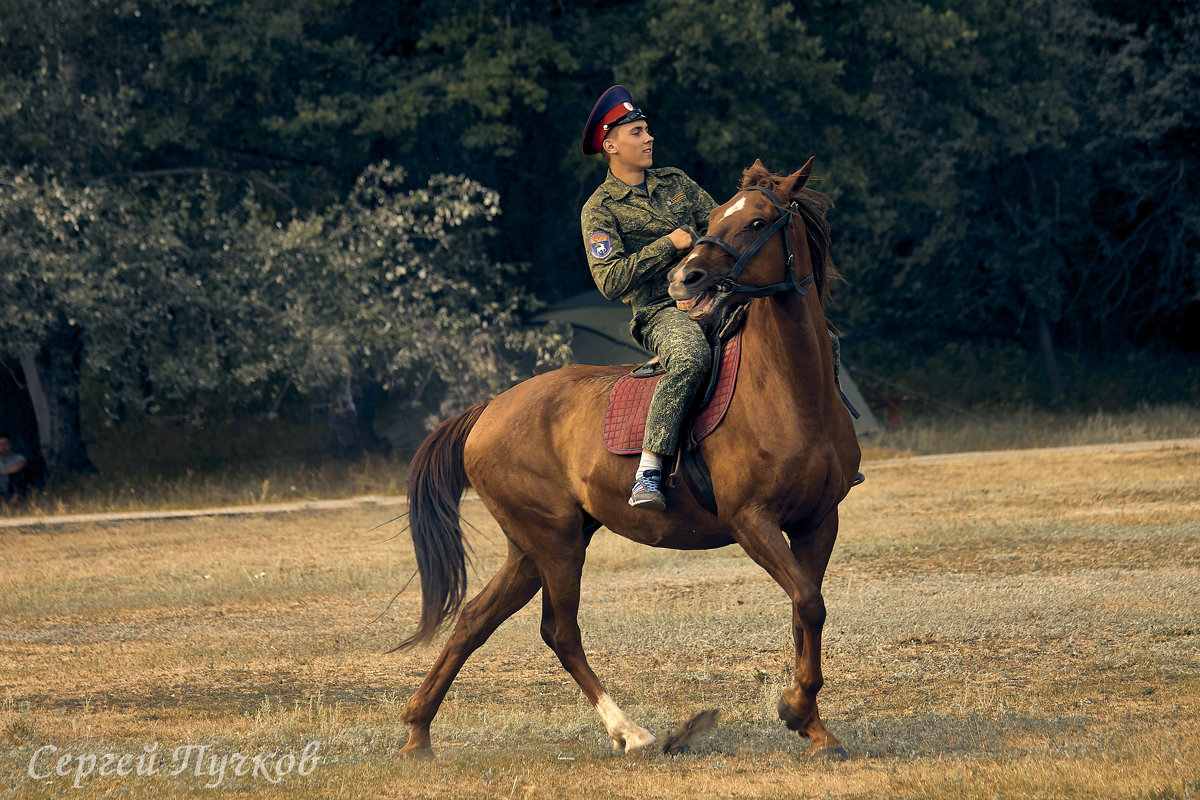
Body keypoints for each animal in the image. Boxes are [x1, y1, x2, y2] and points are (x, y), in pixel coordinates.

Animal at [398, 159, 859, 762]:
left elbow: (808, 614)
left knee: (474, 620)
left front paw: (815, 728)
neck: (791, 389)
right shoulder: (752, 522)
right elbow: (808, 603)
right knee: (559, 631)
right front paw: (796, 711)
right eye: (714, 218)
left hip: (533, 548)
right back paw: (631, 731)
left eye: (756, 220)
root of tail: (488, 410)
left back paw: (417, 734)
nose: (686, 278)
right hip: (556, 543)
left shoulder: (817, 522)